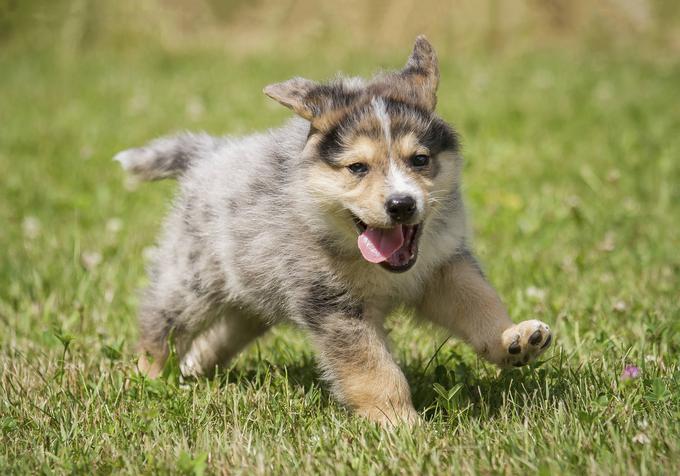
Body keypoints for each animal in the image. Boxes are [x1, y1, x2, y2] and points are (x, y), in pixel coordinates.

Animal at [115, 36, 552, 424]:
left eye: (420, 159)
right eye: (357, 168)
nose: (402, 205)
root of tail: (210, 155)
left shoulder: (443, 266)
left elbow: (479, 303)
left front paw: (513, 339)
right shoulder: (333, 306)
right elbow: (374, 370)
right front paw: (400, 425)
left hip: (253, 291)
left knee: (230, 328)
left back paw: (194, 368)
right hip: (191, 282)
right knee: (159, 324)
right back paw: (146, 378)